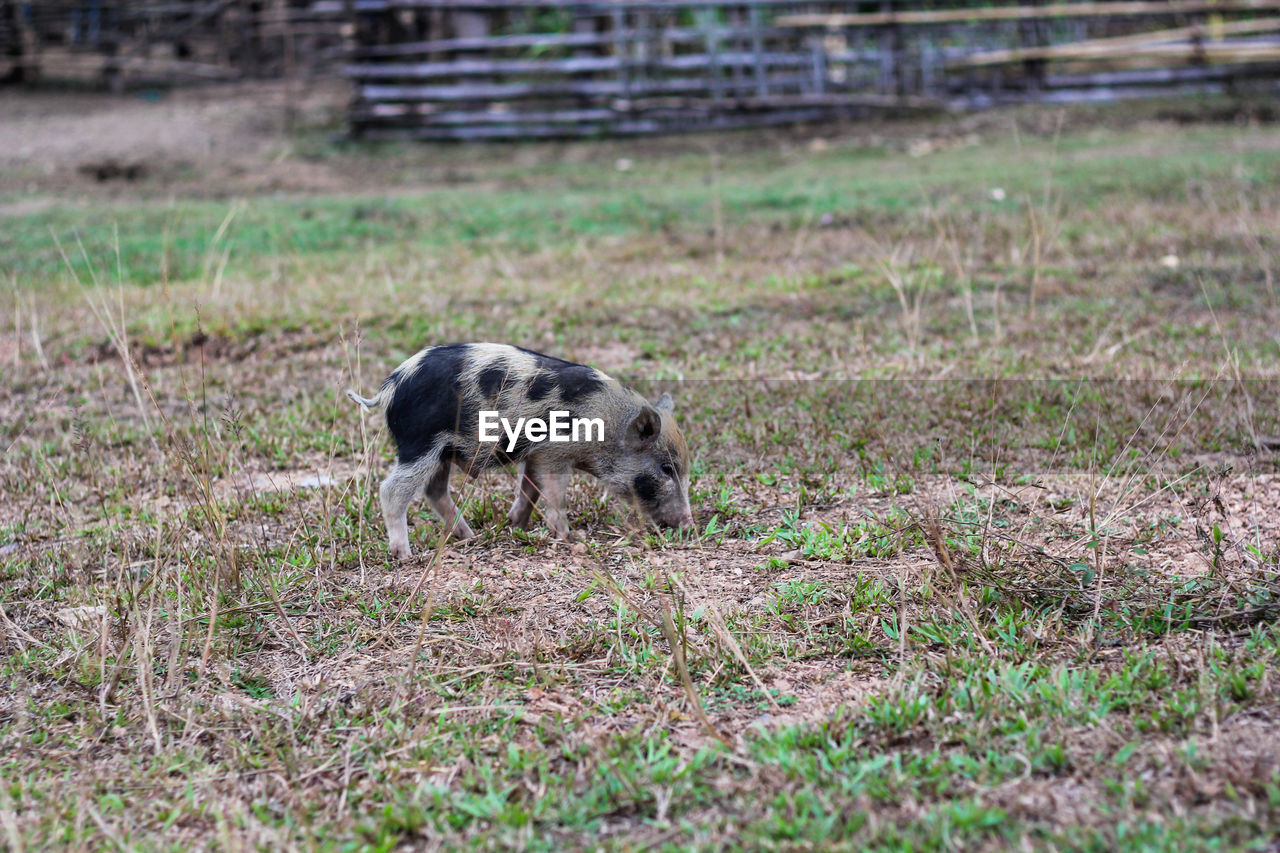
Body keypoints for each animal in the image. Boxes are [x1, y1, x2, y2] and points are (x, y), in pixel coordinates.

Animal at [345, 343, 696, 555]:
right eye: (666, 468)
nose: (688, 524)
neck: (606, 422)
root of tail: (390, 387)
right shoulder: (555, 454)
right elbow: (555, 495)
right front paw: (570, 538)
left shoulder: (536, 455)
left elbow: (530, 489)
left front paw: (516, 524)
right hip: (420, 444)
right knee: (392, 490)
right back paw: (405, 554)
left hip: (441, 451)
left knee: (434, 490)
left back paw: (469, 536)